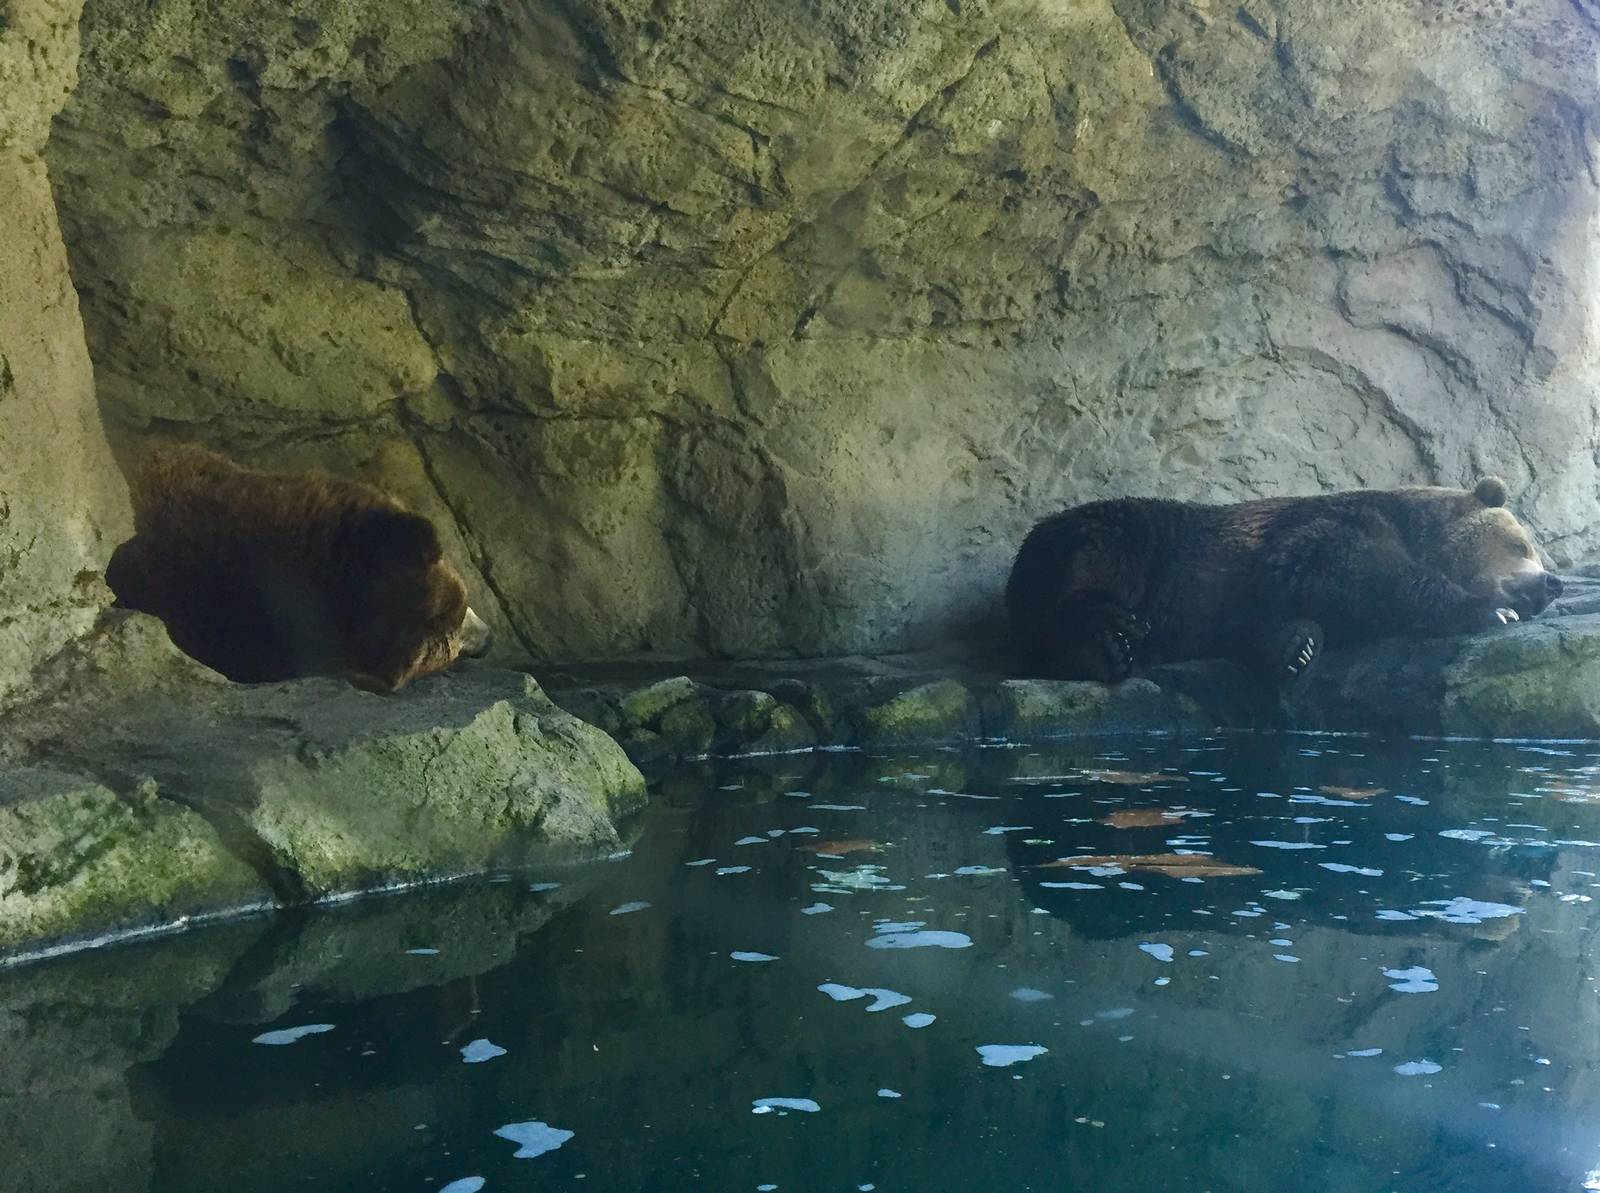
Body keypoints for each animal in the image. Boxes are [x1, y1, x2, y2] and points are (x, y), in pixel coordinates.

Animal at [1004, 477, 1562, 683]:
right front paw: (1487, 609)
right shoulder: (1330, 526)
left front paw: (1297, 647)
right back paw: (1108, 643)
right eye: (1522, 545)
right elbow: (1345, 563)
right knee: (1090, 574)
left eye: (1536, 549)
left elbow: (1272, 621)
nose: (1551, 583)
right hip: (1126, 540)